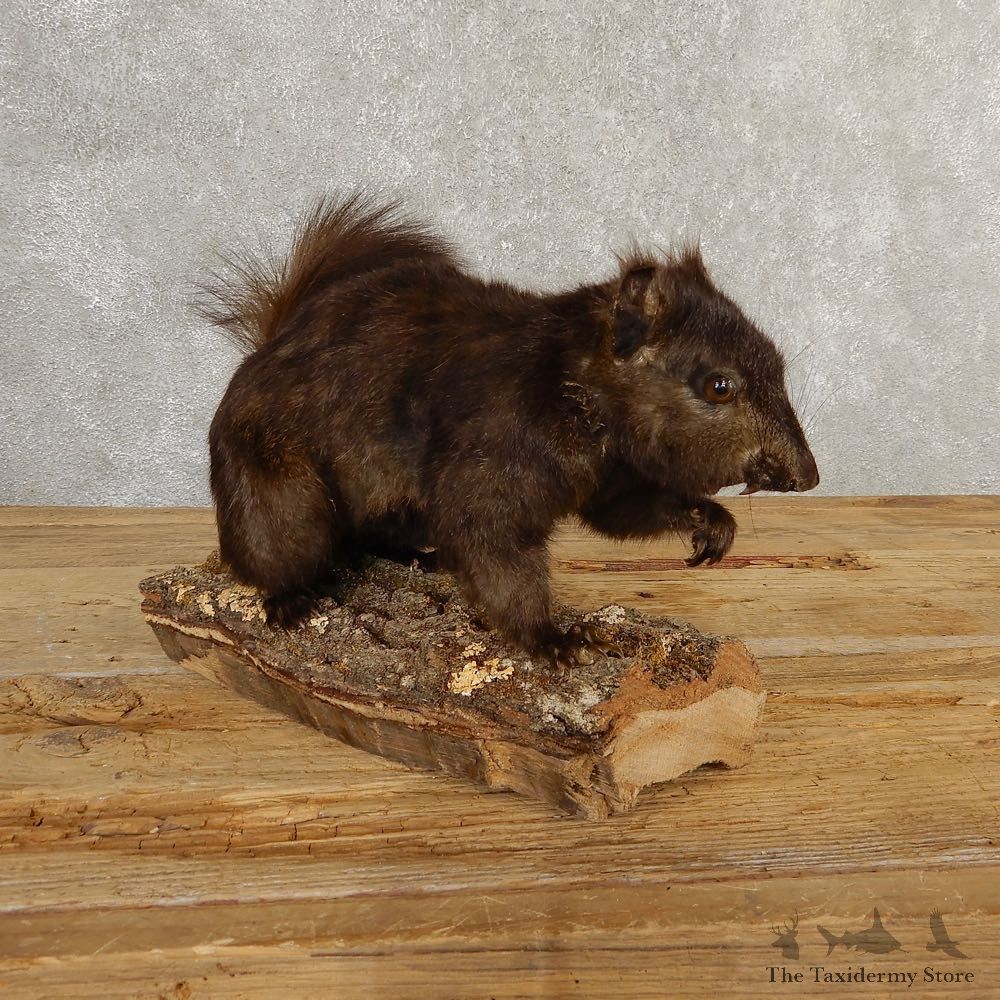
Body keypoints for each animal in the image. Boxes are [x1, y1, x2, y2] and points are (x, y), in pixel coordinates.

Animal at [200, 194, 819, 667]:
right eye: (719, 385)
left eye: (776, 358)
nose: (807, 477)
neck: (575, 387)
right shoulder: (492, 462)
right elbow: (492, 545)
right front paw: (554, 639)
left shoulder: (612, 480)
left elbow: (622, 516)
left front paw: (712, 523)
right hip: (282, 497)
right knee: (275, 556)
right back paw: (290, 600)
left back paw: (420, 559)